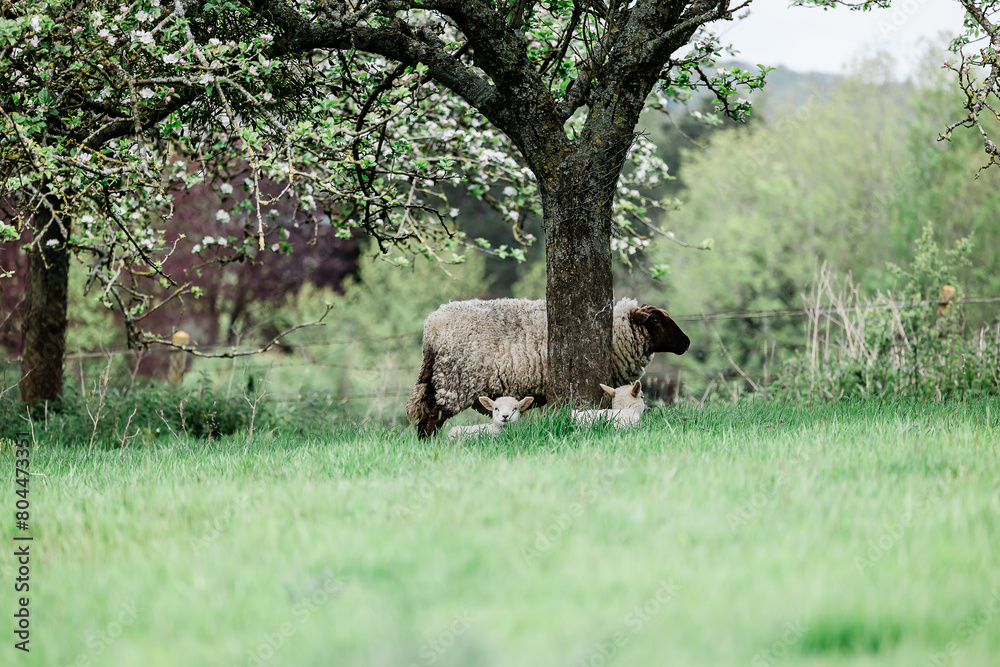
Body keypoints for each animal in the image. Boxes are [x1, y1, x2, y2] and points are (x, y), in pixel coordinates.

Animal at [407, 296, 689, 437]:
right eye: (656, 319)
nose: (686, 342)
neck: (616, 333)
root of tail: (431, 326)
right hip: (456, 381)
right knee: (432, 420)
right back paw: (431, 446)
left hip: (437, 380)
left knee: (424, 417)